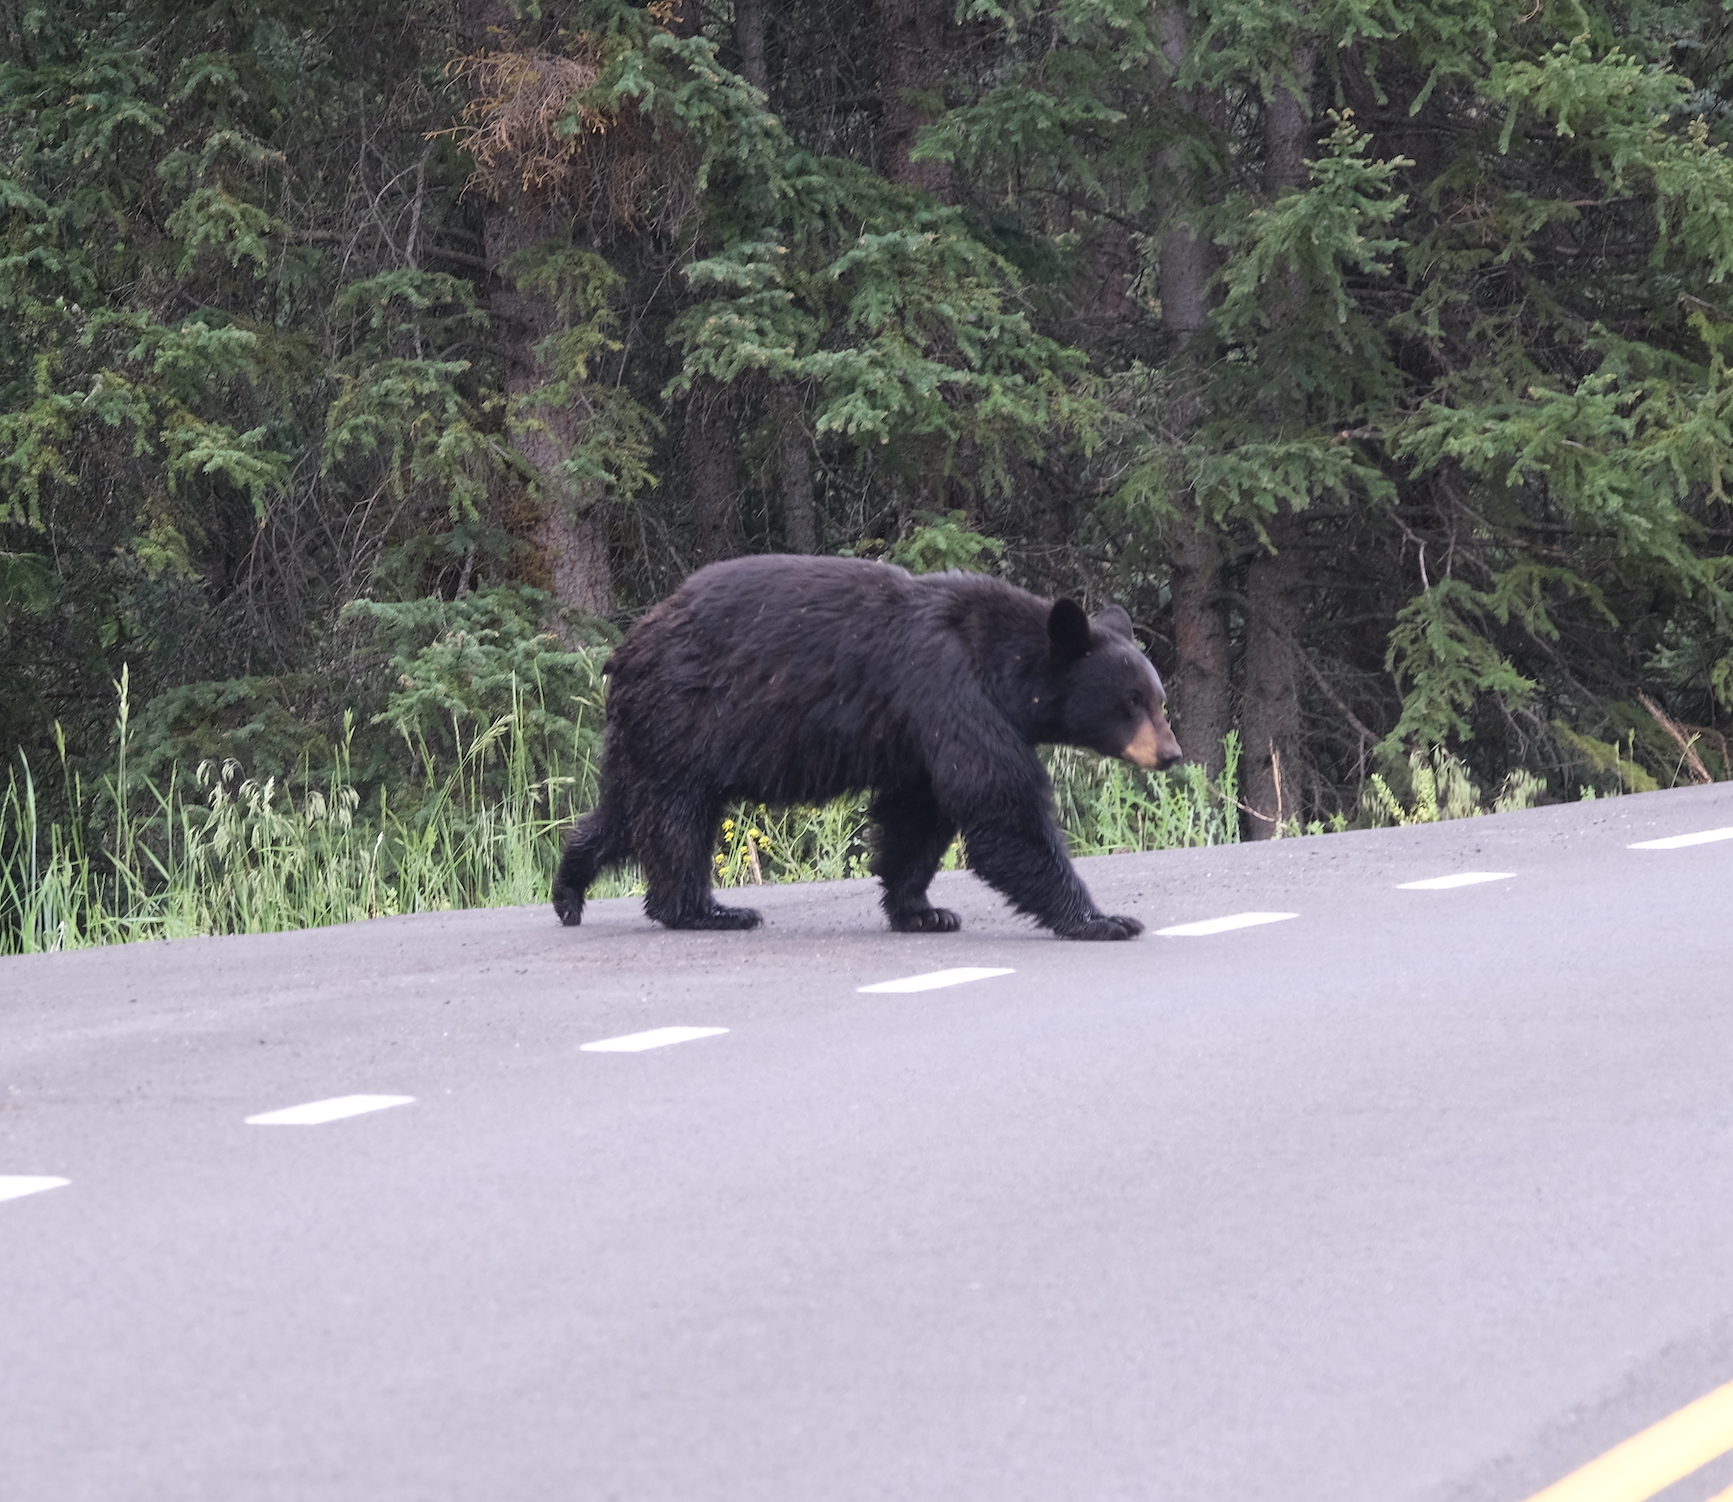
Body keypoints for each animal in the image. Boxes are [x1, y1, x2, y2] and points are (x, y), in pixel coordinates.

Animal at [551, 554, 1183, 940]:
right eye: (1131, 702)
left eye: (1159, 699)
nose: (1171, 754)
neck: (1002, 665)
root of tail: (624, 649)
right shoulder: (947, 691)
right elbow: (1000, 806)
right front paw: (1105, 920)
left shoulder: (921, 734)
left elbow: (916, 815)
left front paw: (924, 910)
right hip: (687, 718)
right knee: (676, 820)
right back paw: (710, 911)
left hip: (648, 736)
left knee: (627, 813)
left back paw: (569, 890)